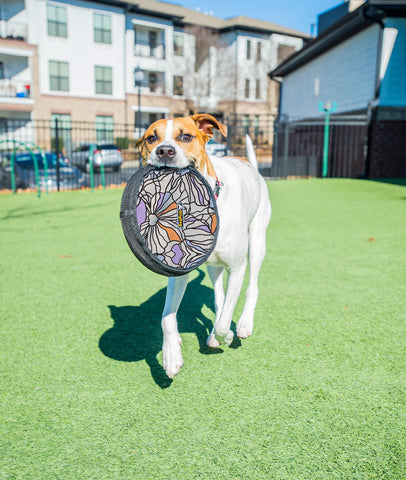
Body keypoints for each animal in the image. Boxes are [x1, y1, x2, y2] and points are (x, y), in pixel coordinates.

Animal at [137, 114, 272, 376]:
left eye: (186, 136)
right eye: (151, 138)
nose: (164, 150)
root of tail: (251, 166)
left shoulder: (237, 268)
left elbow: (224, 322)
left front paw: (225, 335)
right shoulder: (178, 271)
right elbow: (166, 317)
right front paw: (171, 354)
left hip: (257, 241)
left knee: (252, 287)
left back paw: (243, 325)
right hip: (213, 266)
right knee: (219, 298)